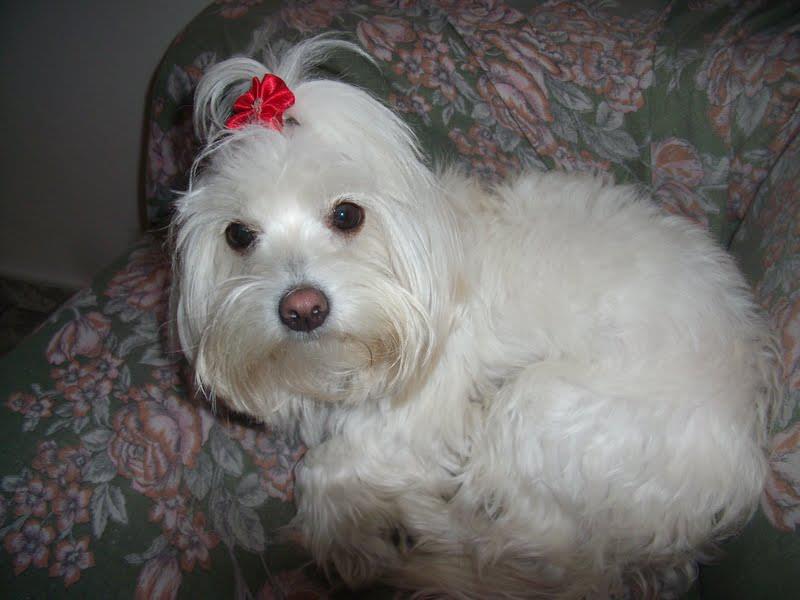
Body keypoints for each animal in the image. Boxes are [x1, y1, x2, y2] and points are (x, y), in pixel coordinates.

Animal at [170, 37, 780, 598]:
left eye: (346, 215)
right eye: (238, 235)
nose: (301, 308)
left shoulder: (413, 417)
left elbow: (322, 469)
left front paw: (348, 538)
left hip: (541, 406)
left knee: (529, 545)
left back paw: (418, 525)